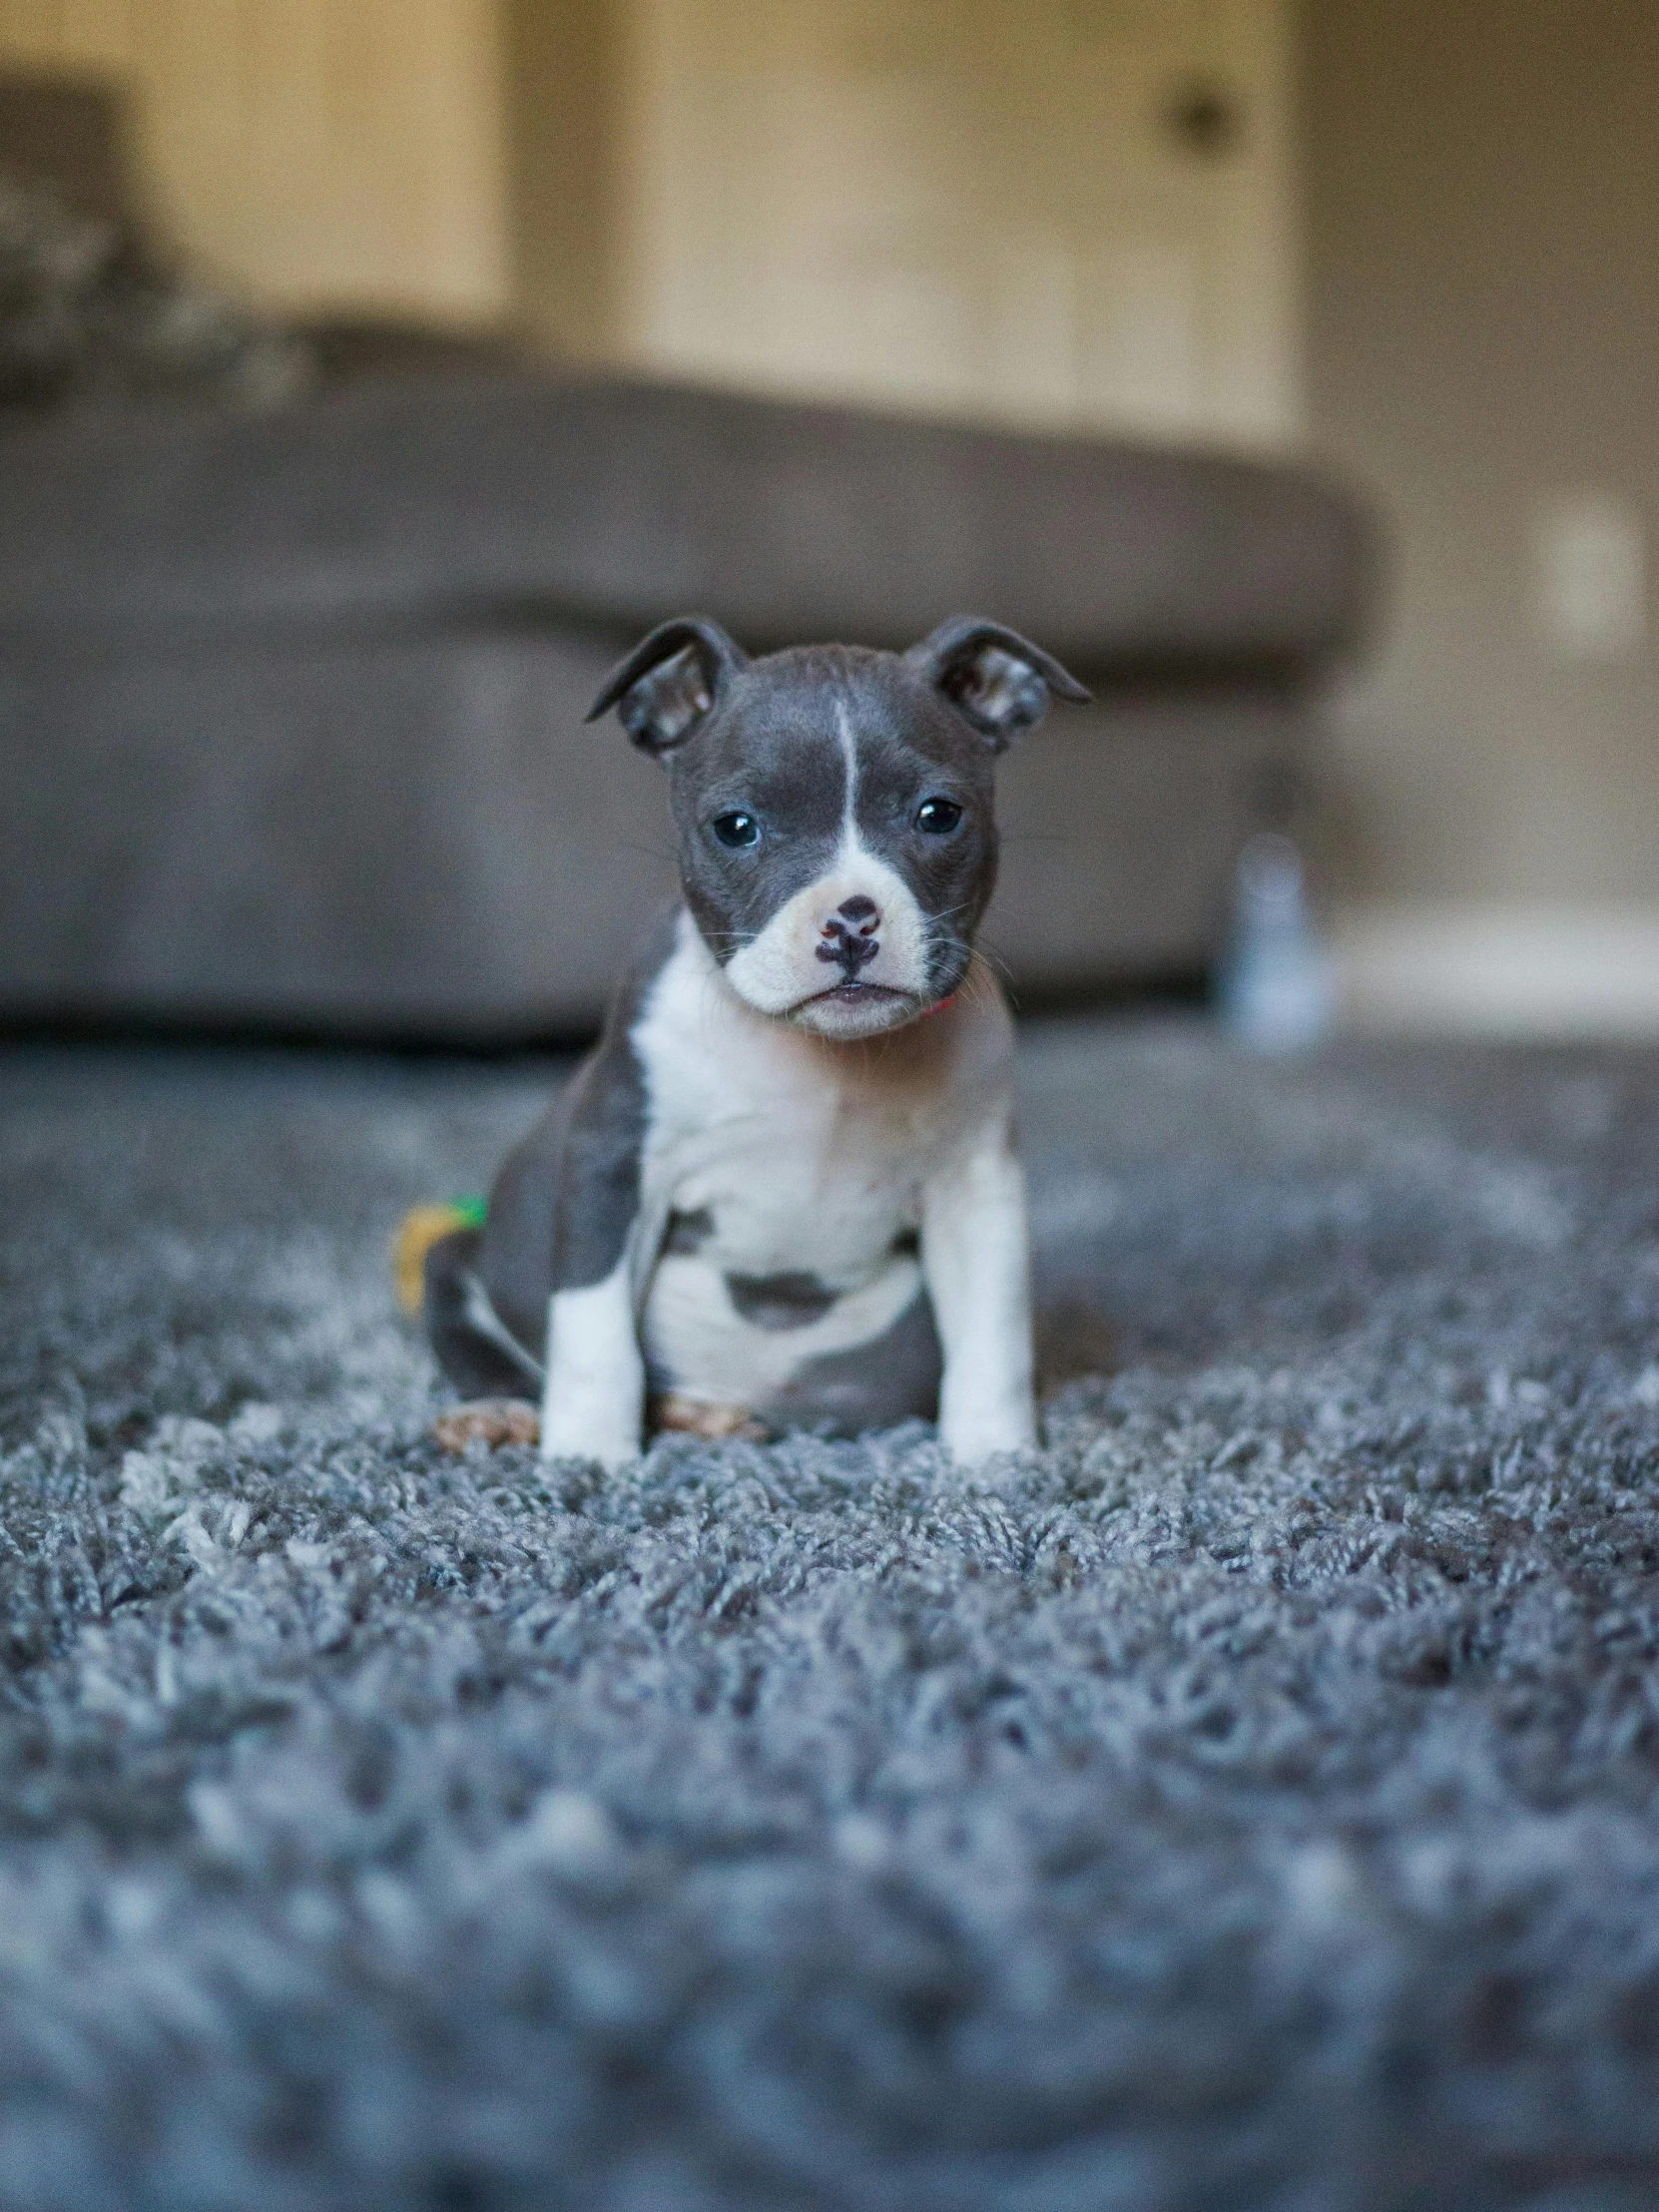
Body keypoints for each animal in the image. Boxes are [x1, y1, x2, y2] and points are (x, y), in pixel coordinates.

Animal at [422, 606, 1092, 1468]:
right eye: (736, 828)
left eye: (939, 815)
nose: (851, 921)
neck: (826, 1057)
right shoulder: (614, 1165)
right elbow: (595, 1333)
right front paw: (589, 1461)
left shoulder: (976, 1187)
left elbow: (993, 1334)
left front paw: (995, 1459)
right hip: (458, 1258)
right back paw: (500, 1412)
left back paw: (698, 1414)